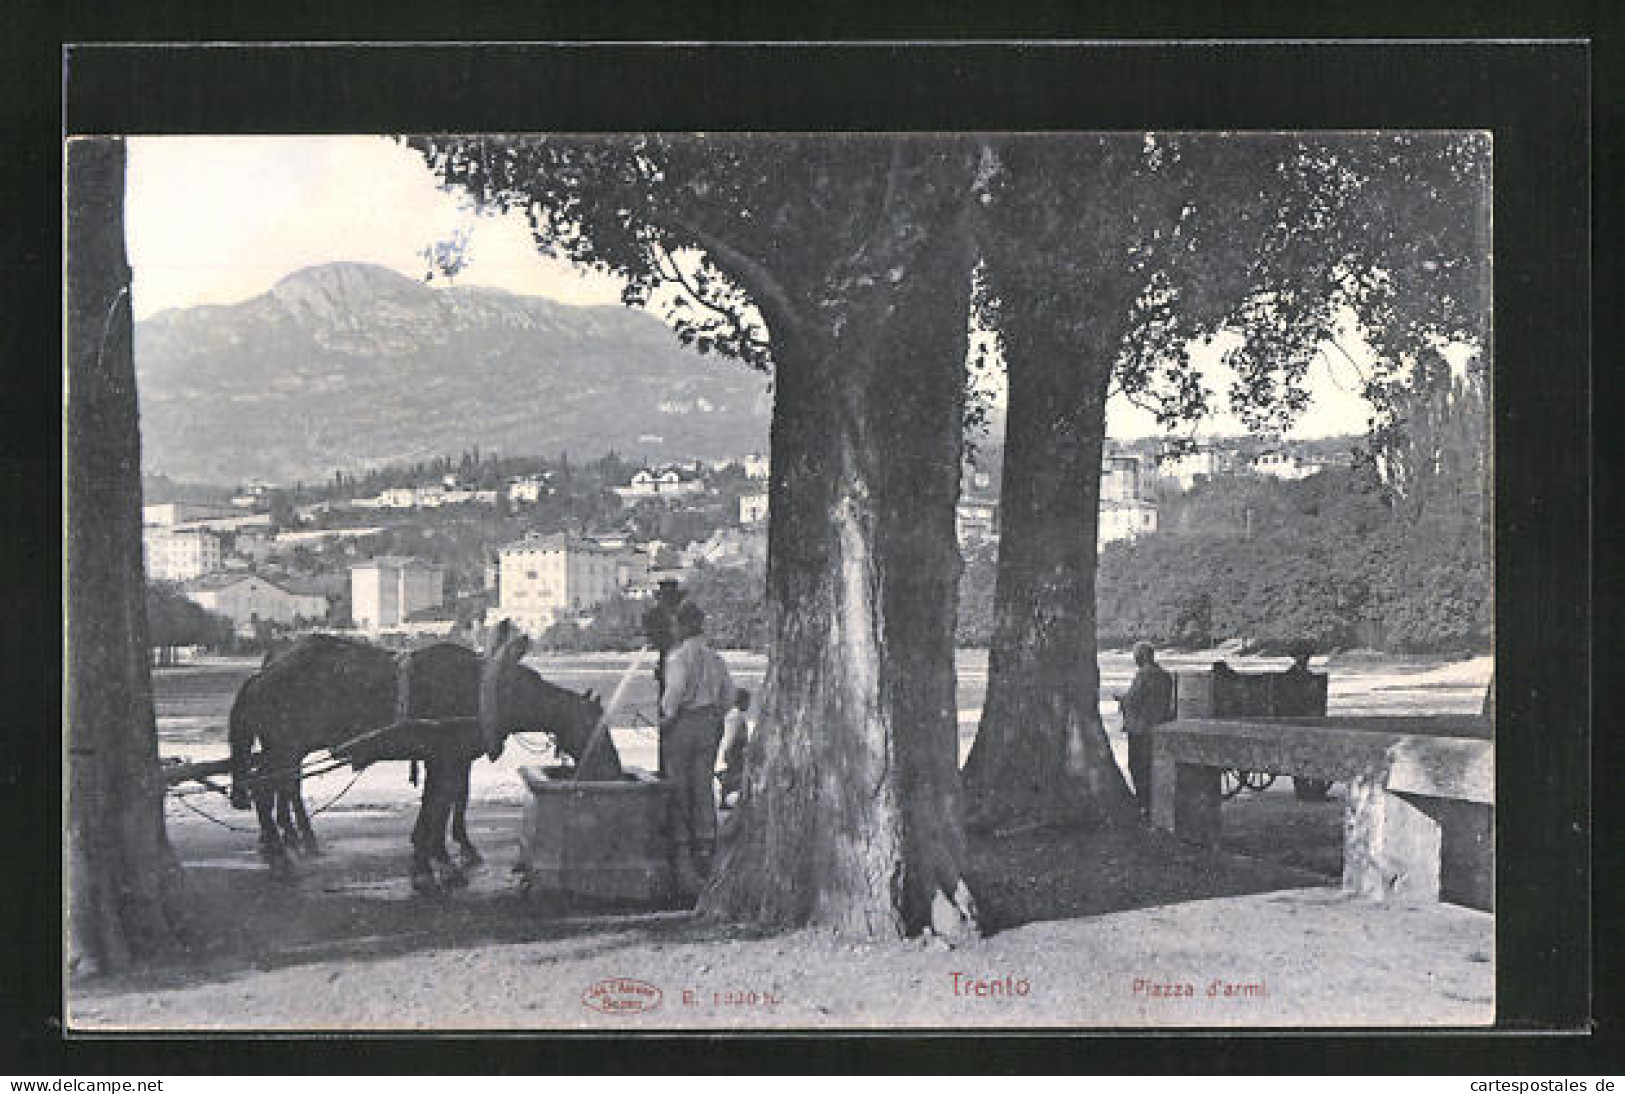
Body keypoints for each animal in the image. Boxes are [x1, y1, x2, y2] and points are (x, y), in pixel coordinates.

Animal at [235, 624, 620, 884]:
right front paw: (435, 862)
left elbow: (443, 803)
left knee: (278, 789)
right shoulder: (447, 758)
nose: (614, 770)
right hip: (284, 750)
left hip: (284, 752)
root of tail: (260, 676)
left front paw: (437, 854)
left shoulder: (448, 760)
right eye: (596, 726)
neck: (484, 689)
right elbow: (440, 804)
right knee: (267, 791)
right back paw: (280, 849)